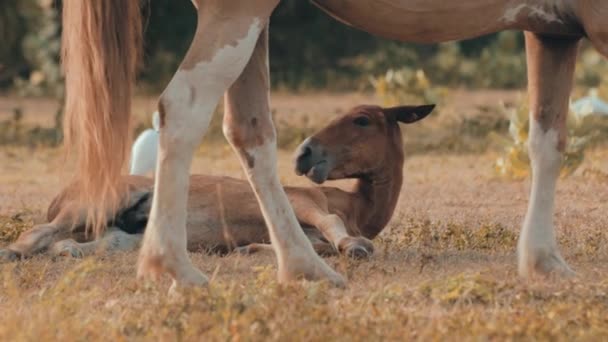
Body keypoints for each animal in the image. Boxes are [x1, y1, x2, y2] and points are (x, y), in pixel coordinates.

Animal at [1, 104, 436, 262]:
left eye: (361, 120)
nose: (304, 153)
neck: (357, 206)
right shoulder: (303, 202)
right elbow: (333, 228)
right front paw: (356, 246)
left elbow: (312, 244)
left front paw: (251, 249)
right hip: (96, 205)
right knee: (41, 232)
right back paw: (13, 253)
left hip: (121, 233)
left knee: (76, 244)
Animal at [58, 0, 608, 288]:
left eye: (363, 122)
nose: (308, 156)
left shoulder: (552, 32)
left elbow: (548, 141)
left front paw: (543, 261)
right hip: (235, 15)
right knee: (185, 110)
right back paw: (173, 265)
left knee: (248, 130)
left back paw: (304, 266)